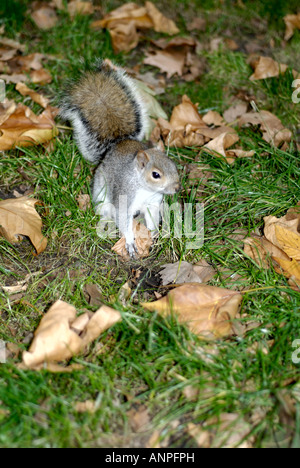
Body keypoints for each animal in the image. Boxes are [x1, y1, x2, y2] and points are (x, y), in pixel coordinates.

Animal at [59, 60, 179, 258]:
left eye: (174, 165)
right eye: (155, 174)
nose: (177, 188)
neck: (143, 188)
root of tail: (118, 143)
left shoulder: (153, 203)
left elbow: (153, 218)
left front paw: (153, 234)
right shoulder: (124, 197)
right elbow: (123, 219)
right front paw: (130, 242)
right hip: (101, 194)